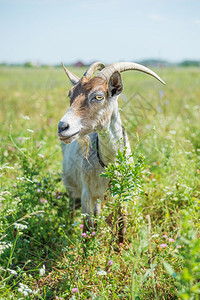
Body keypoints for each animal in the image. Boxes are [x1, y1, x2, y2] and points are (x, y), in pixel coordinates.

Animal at [57, 61, 164, 241]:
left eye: (98, 96)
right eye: (70, 95)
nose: (63, 127)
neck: (109, 162)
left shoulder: (123, 193)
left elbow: (122, 226)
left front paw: (119, 247)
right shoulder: (86, 193)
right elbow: (87, 228)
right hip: (71, 185)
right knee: (73, 209)